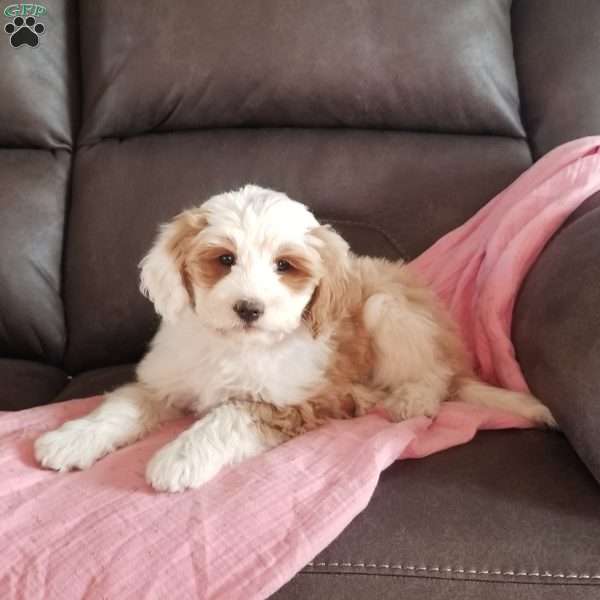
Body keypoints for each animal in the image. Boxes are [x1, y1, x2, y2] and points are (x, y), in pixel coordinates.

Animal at [35, 185, 556, 490]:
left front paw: (179, 458)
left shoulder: (291, 401)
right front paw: (71, 439)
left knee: (435, 377)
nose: (249, 308)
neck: (235, 345)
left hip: (390, 309)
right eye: (224, 259)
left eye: (284, 266)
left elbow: (227, 416)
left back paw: (407, 401)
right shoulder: (163, 381)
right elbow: (120, 406)